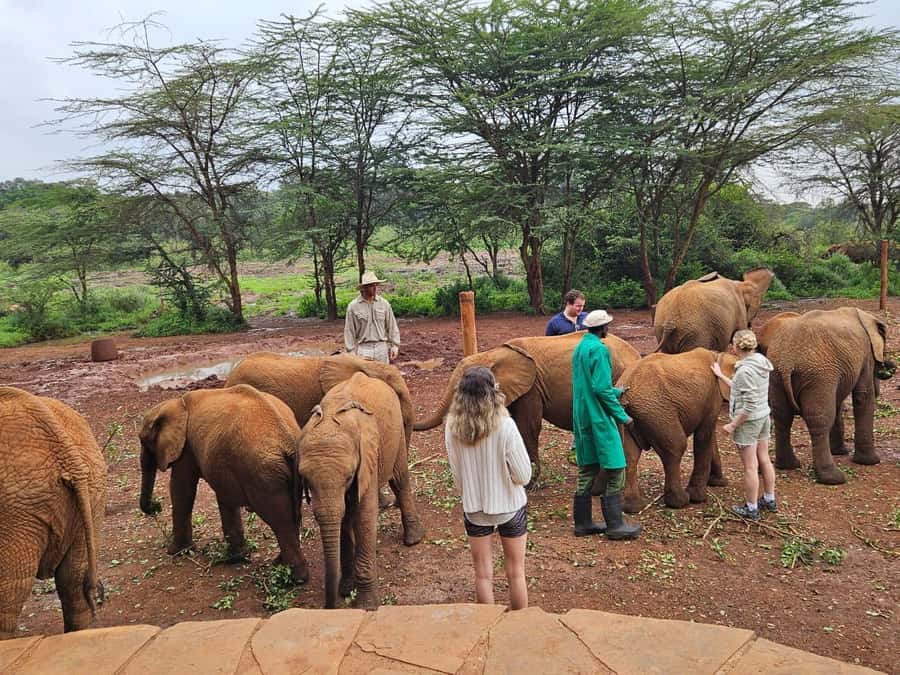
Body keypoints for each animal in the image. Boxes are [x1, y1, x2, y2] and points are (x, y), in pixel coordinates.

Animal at [139, 384, 309, 582]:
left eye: (143, 441)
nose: (155, 507)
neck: (176, 404)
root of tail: (288, 440)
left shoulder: (186, 447)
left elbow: (181, 489)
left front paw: (175, 552)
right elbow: (225, 497)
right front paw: (236, 558)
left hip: (264, 475)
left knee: (280, 521)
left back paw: (293, 579)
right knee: (293, 515)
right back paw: (279, 566)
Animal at [298, 372, 425, 610]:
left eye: (349, 476)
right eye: (306, 481)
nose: (329, 607)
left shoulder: (367, 457)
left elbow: (363, 516)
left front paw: (366, 605)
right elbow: (344, 519)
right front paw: (347, 590)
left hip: (396, 433)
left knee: (400, 480)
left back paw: (413, 540)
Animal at [616, 349, 737, 513]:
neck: (719, 355)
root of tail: (625, 390)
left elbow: (710, 435)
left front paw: (719, 483)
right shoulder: (713, 396)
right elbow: (703, 436)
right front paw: (699, 498)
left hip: (633, 415)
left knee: (630, 455)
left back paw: (634, 507)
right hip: (657, 413)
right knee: (675, 448)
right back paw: (681, 501)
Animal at [756, 307, 894, 485]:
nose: (889, 368)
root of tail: (787, 362)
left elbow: (838, 402)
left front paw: (841, 452)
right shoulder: (865, 355)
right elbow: (863, 396)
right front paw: (870, 462)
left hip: (777, 375)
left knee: (782, 416)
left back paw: (788, 466)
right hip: (818, 376)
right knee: (819, 420)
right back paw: (833, 478)